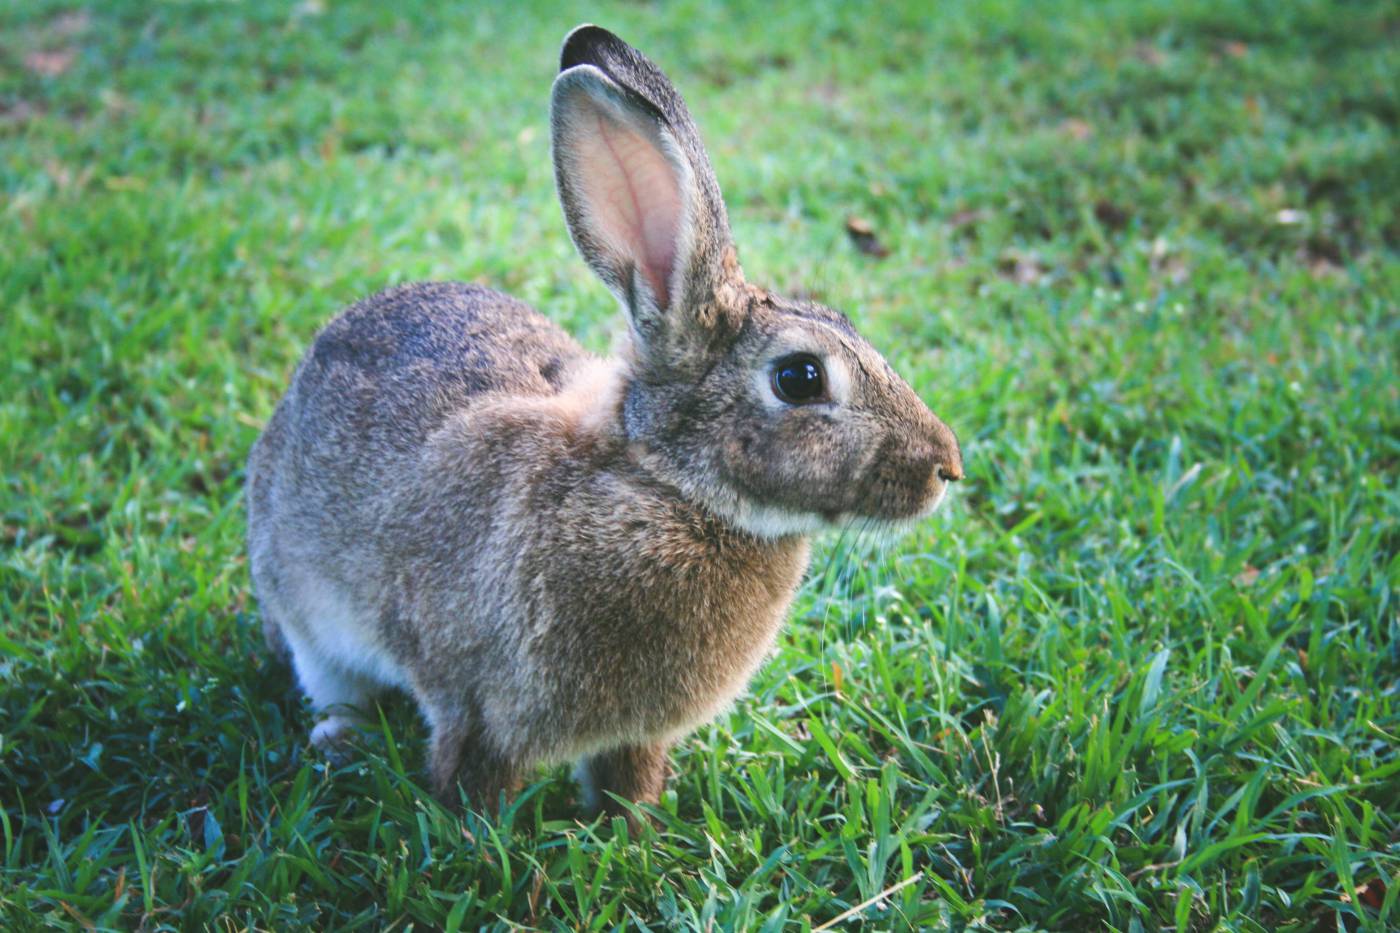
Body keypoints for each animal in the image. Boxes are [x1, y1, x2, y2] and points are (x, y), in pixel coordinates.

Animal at [243, 25, 963, 818]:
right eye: (799, 378)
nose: (947, 466)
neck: (667, 487)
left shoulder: (637, 734)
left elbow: (629, 781)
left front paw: (635, 827)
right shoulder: (478, 707)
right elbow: (472, 778)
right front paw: (476, 833)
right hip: (305, 612)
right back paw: (338, 737)